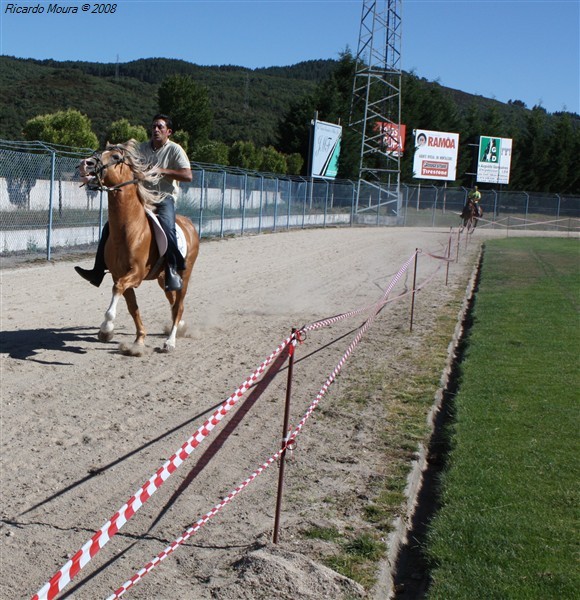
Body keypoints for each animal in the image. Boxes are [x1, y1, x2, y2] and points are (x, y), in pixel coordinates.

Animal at [78, 139, 199, 356]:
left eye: (116, 157)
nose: (86, 164)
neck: (130, 229)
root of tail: (190, 224)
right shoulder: (119, 273)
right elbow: (132, 306)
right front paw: (138, 340)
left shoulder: (136, 273)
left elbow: (118, 289)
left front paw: (106, 328)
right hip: (164, 278)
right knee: (173, 301)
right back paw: (179, 327)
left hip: (184, 275)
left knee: (179, 305)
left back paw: (170, 341)